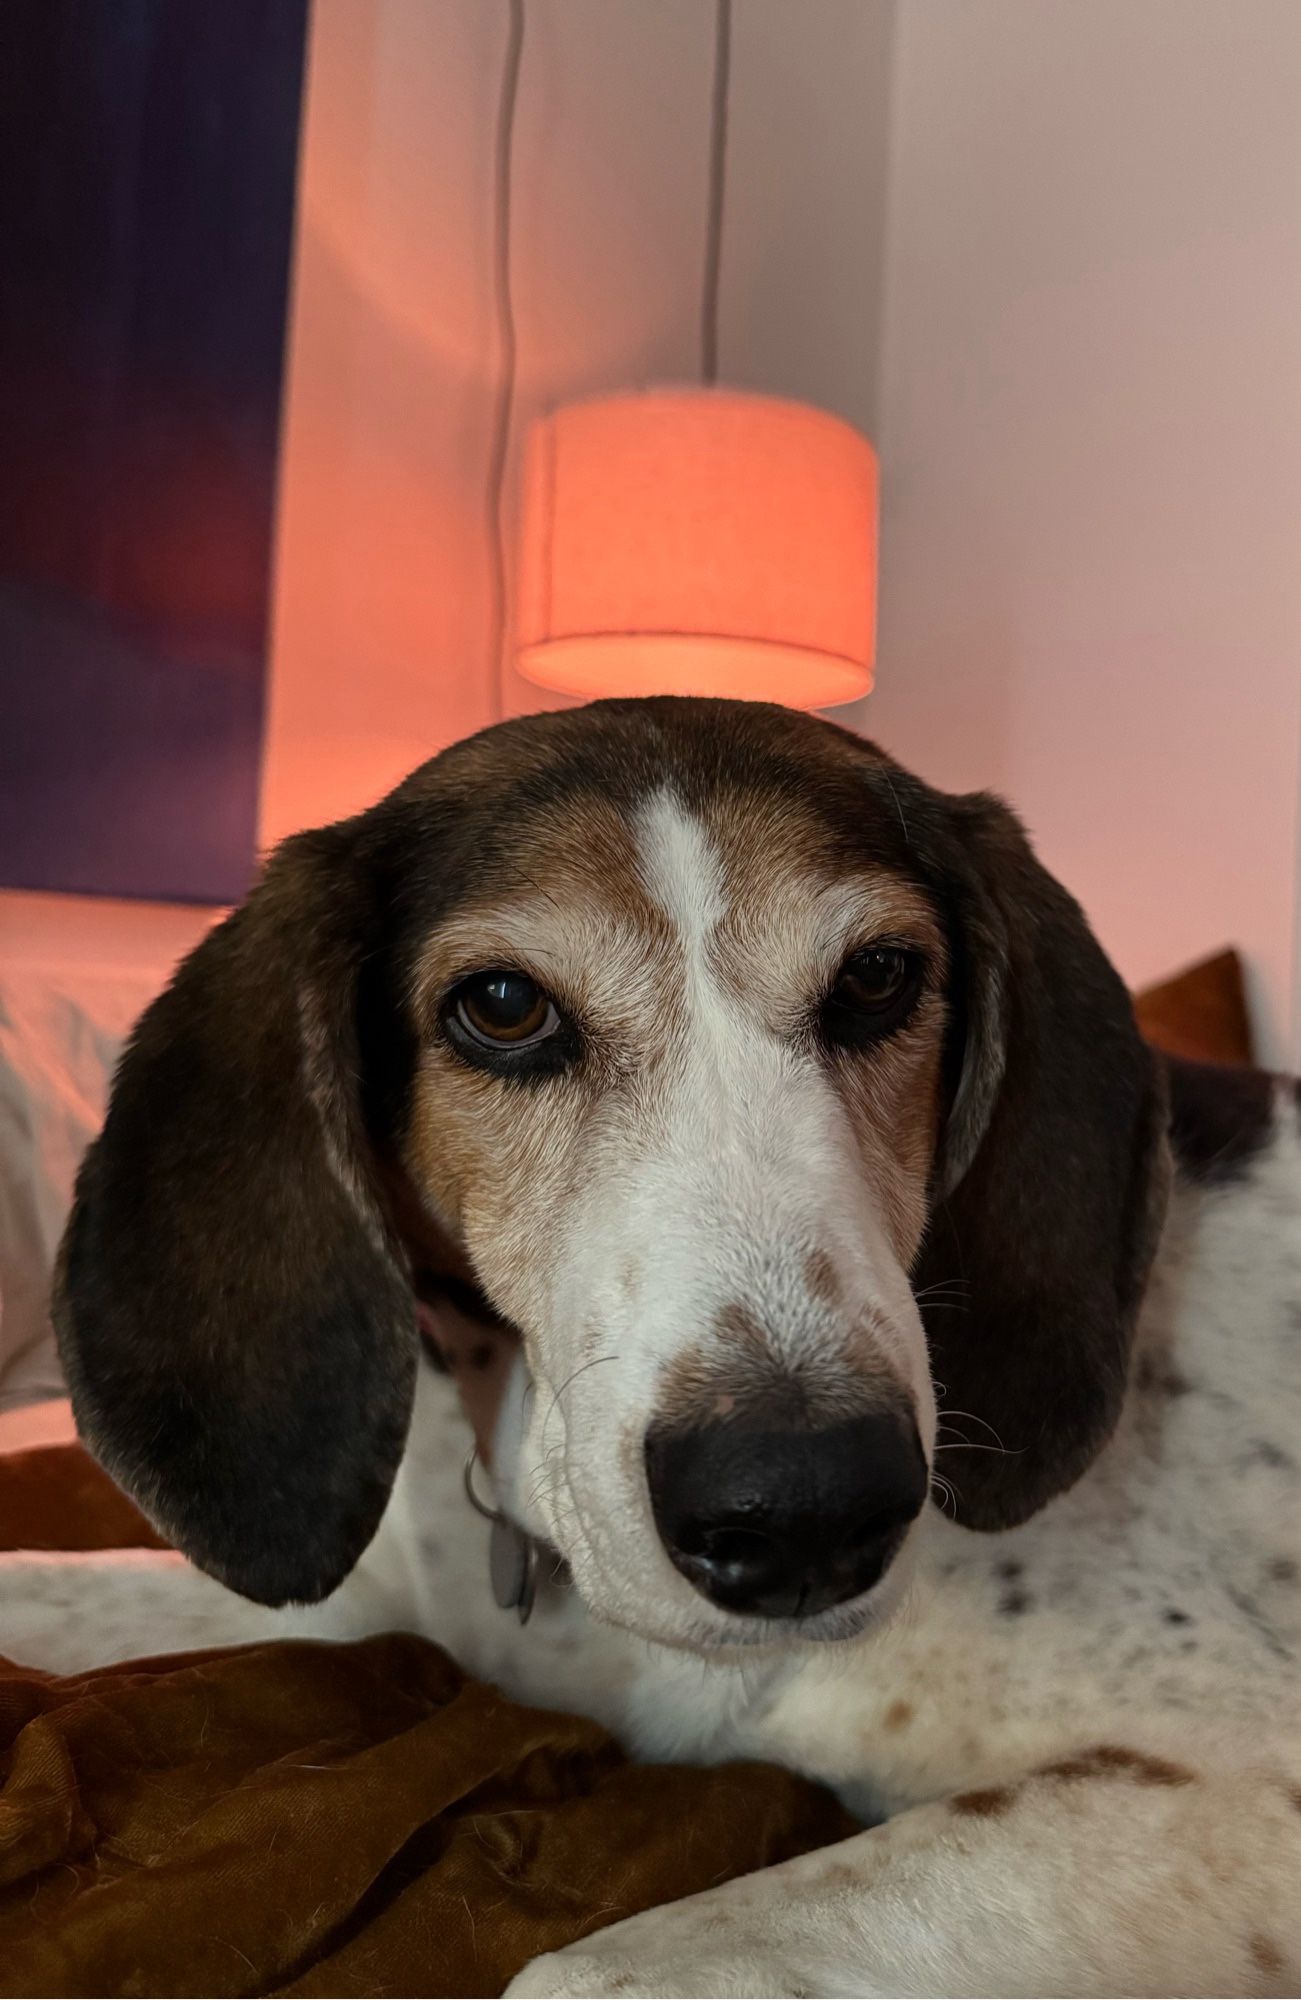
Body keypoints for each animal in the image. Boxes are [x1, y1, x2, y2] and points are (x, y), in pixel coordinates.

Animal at [2, 696, 1296, 1992]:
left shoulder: (1226, 1768)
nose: (805, 1507)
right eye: (502, 1004)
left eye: (877, 975)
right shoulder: (371, 1615)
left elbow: (570, 1968)